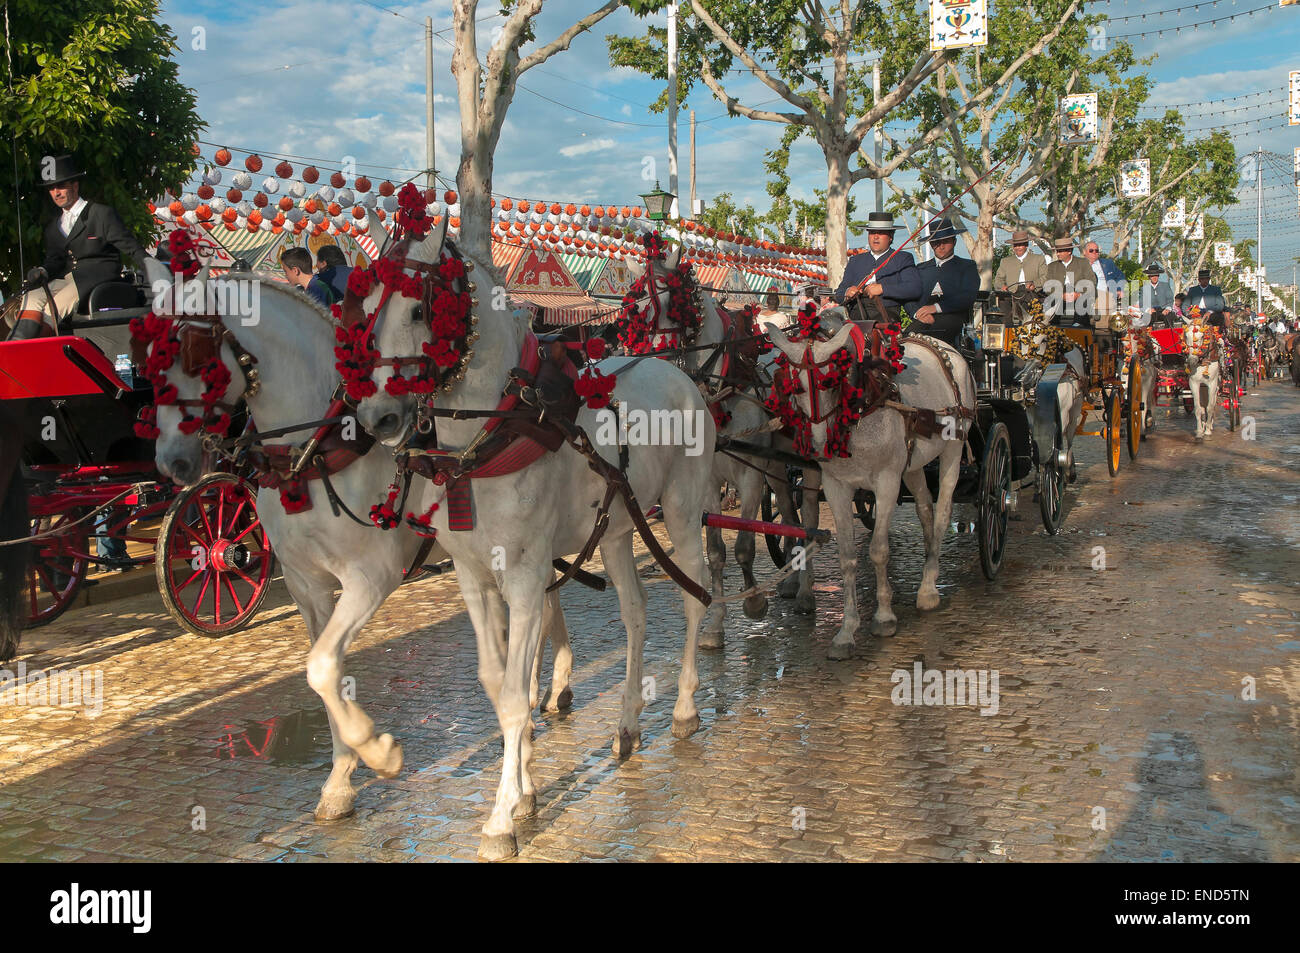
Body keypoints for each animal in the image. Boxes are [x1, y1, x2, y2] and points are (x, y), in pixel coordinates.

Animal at [146, 265, 569, 816]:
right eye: (146, 362)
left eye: (194, 355)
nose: (171, 461)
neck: (316, 449)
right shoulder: (306, 586)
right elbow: (325, 670)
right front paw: (341, 777)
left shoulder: (371, 578)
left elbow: (322, 668)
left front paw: (379, 751)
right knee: (549, 601)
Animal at [353, 219, 712, 858]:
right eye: (367, 307)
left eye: (420, 309)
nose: (377, 418)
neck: (497, 428)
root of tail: (677, 374)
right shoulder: (475, 579)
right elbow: (499, 685)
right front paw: (523, 793)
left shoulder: (524, 577)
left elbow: (518, 695)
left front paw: (501, 818)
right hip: (616, 530)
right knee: (637, 613)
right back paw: (627, 724)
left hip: (684, 511)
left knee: (696, 593)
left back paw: (685, 707)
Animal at [759, 315, 977, 657]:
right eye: (793, 385)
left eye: (831, 382)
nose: (819, 447)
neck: (860, 408)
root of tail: (945, 348)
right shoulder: (837, 486)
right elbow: (847, 557)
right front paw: (846, 631)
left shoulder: (887, 481)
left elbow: (878, 550)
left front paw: (884, 617)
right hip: (913, 462)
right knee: (924, 507)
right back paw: (929, 560)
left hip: (954, 446)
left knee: (943, 510)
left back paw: (928, 588)